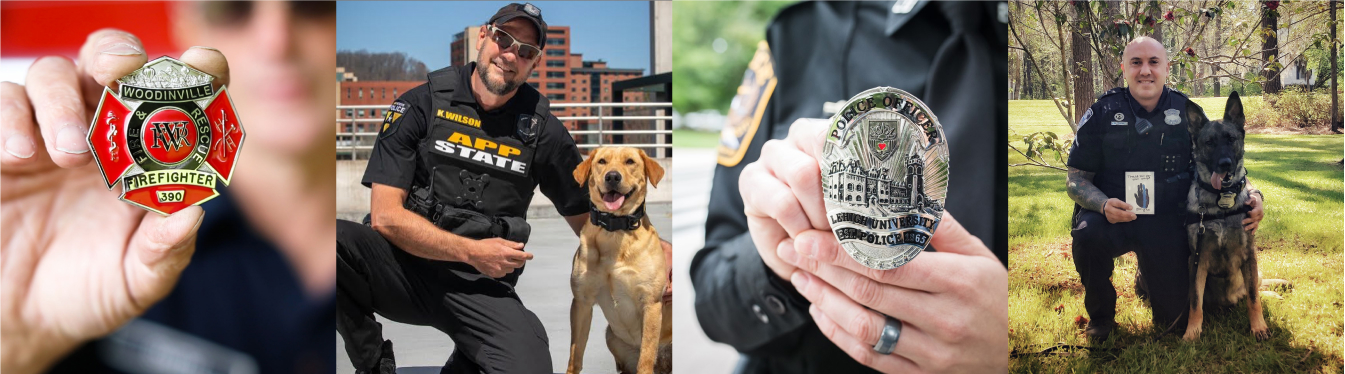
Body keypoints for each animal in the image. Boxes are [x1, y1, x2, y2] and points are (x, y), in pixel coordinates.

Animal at [567, 146, 672, 373]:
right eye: (602, 161)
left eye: (630, 161)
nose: (613, 177)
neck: (614, 232)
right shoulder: (582, 302)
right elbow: (575, 357)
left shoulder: (650, 303)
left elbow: (646, 359)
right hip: (612, 339)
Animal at [1188, 91, 1269, 341]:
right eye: (1209, 143)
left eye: (1231, 139)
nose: (1225, 164)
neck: (1221, 203)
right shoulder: (1197, 260)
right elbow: (1195, 301)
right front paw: (1191, 331)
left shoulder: (1249, 256)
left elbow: (1254, 298)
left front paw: (1258, 327)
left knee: (1258, 289)